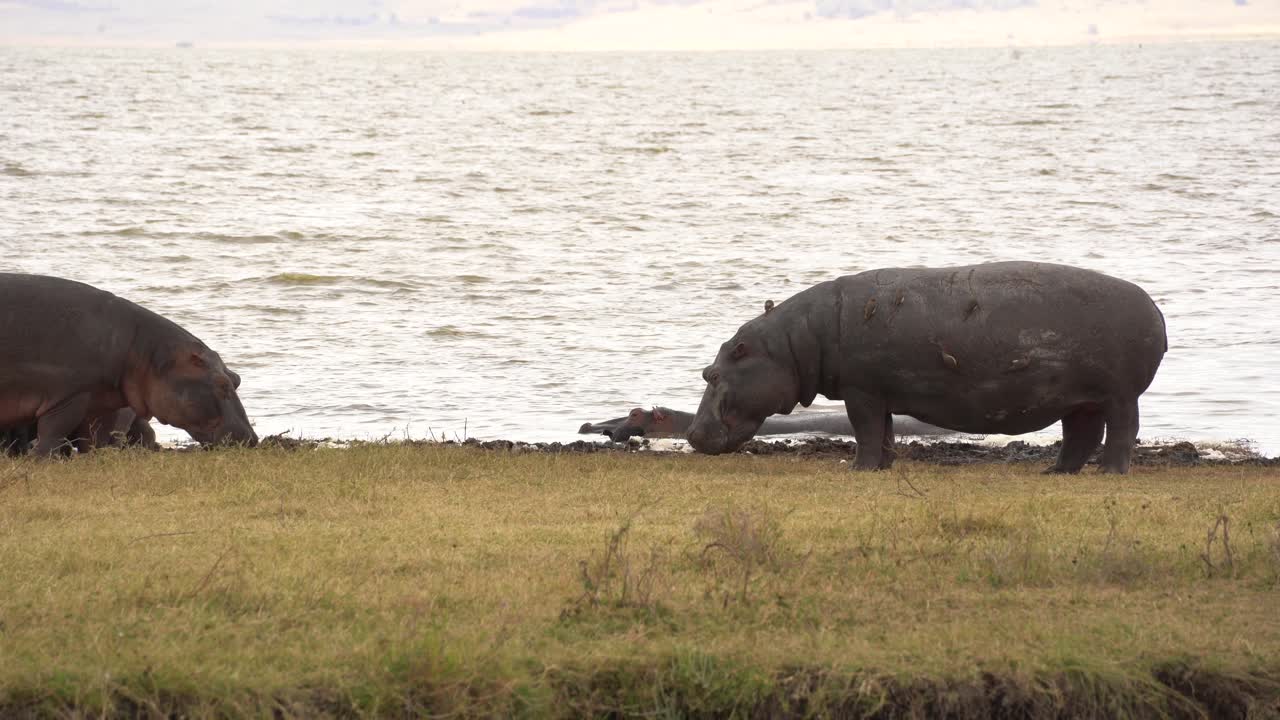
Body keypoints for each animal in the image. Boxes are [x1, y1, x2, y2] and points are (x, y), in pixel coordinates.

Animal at [0, 273, 258, 457]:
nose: (252, 439)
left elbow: (96, 437)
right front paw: (44, 459)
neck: (143, 351)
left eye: (237, 379)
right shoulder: (70, 395)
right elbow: (54, 431)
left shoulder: (98, 400)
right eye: (223, 384)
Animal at [687, 261, 1167, 474]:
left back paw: (1109, 473)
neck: (790, 344)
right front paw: (881, 469)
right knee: (1081, 436)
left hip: (1119, 395)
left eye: (713, 375)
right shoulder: (877, 392)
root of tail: (1155, 310)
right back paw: (1055, 473)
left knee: (1121, 432)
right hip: (1079, 398)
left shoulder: (861, 391)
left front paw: (858, 470)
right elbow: (883, 432)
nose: (690, 434)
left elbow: (865, 431)